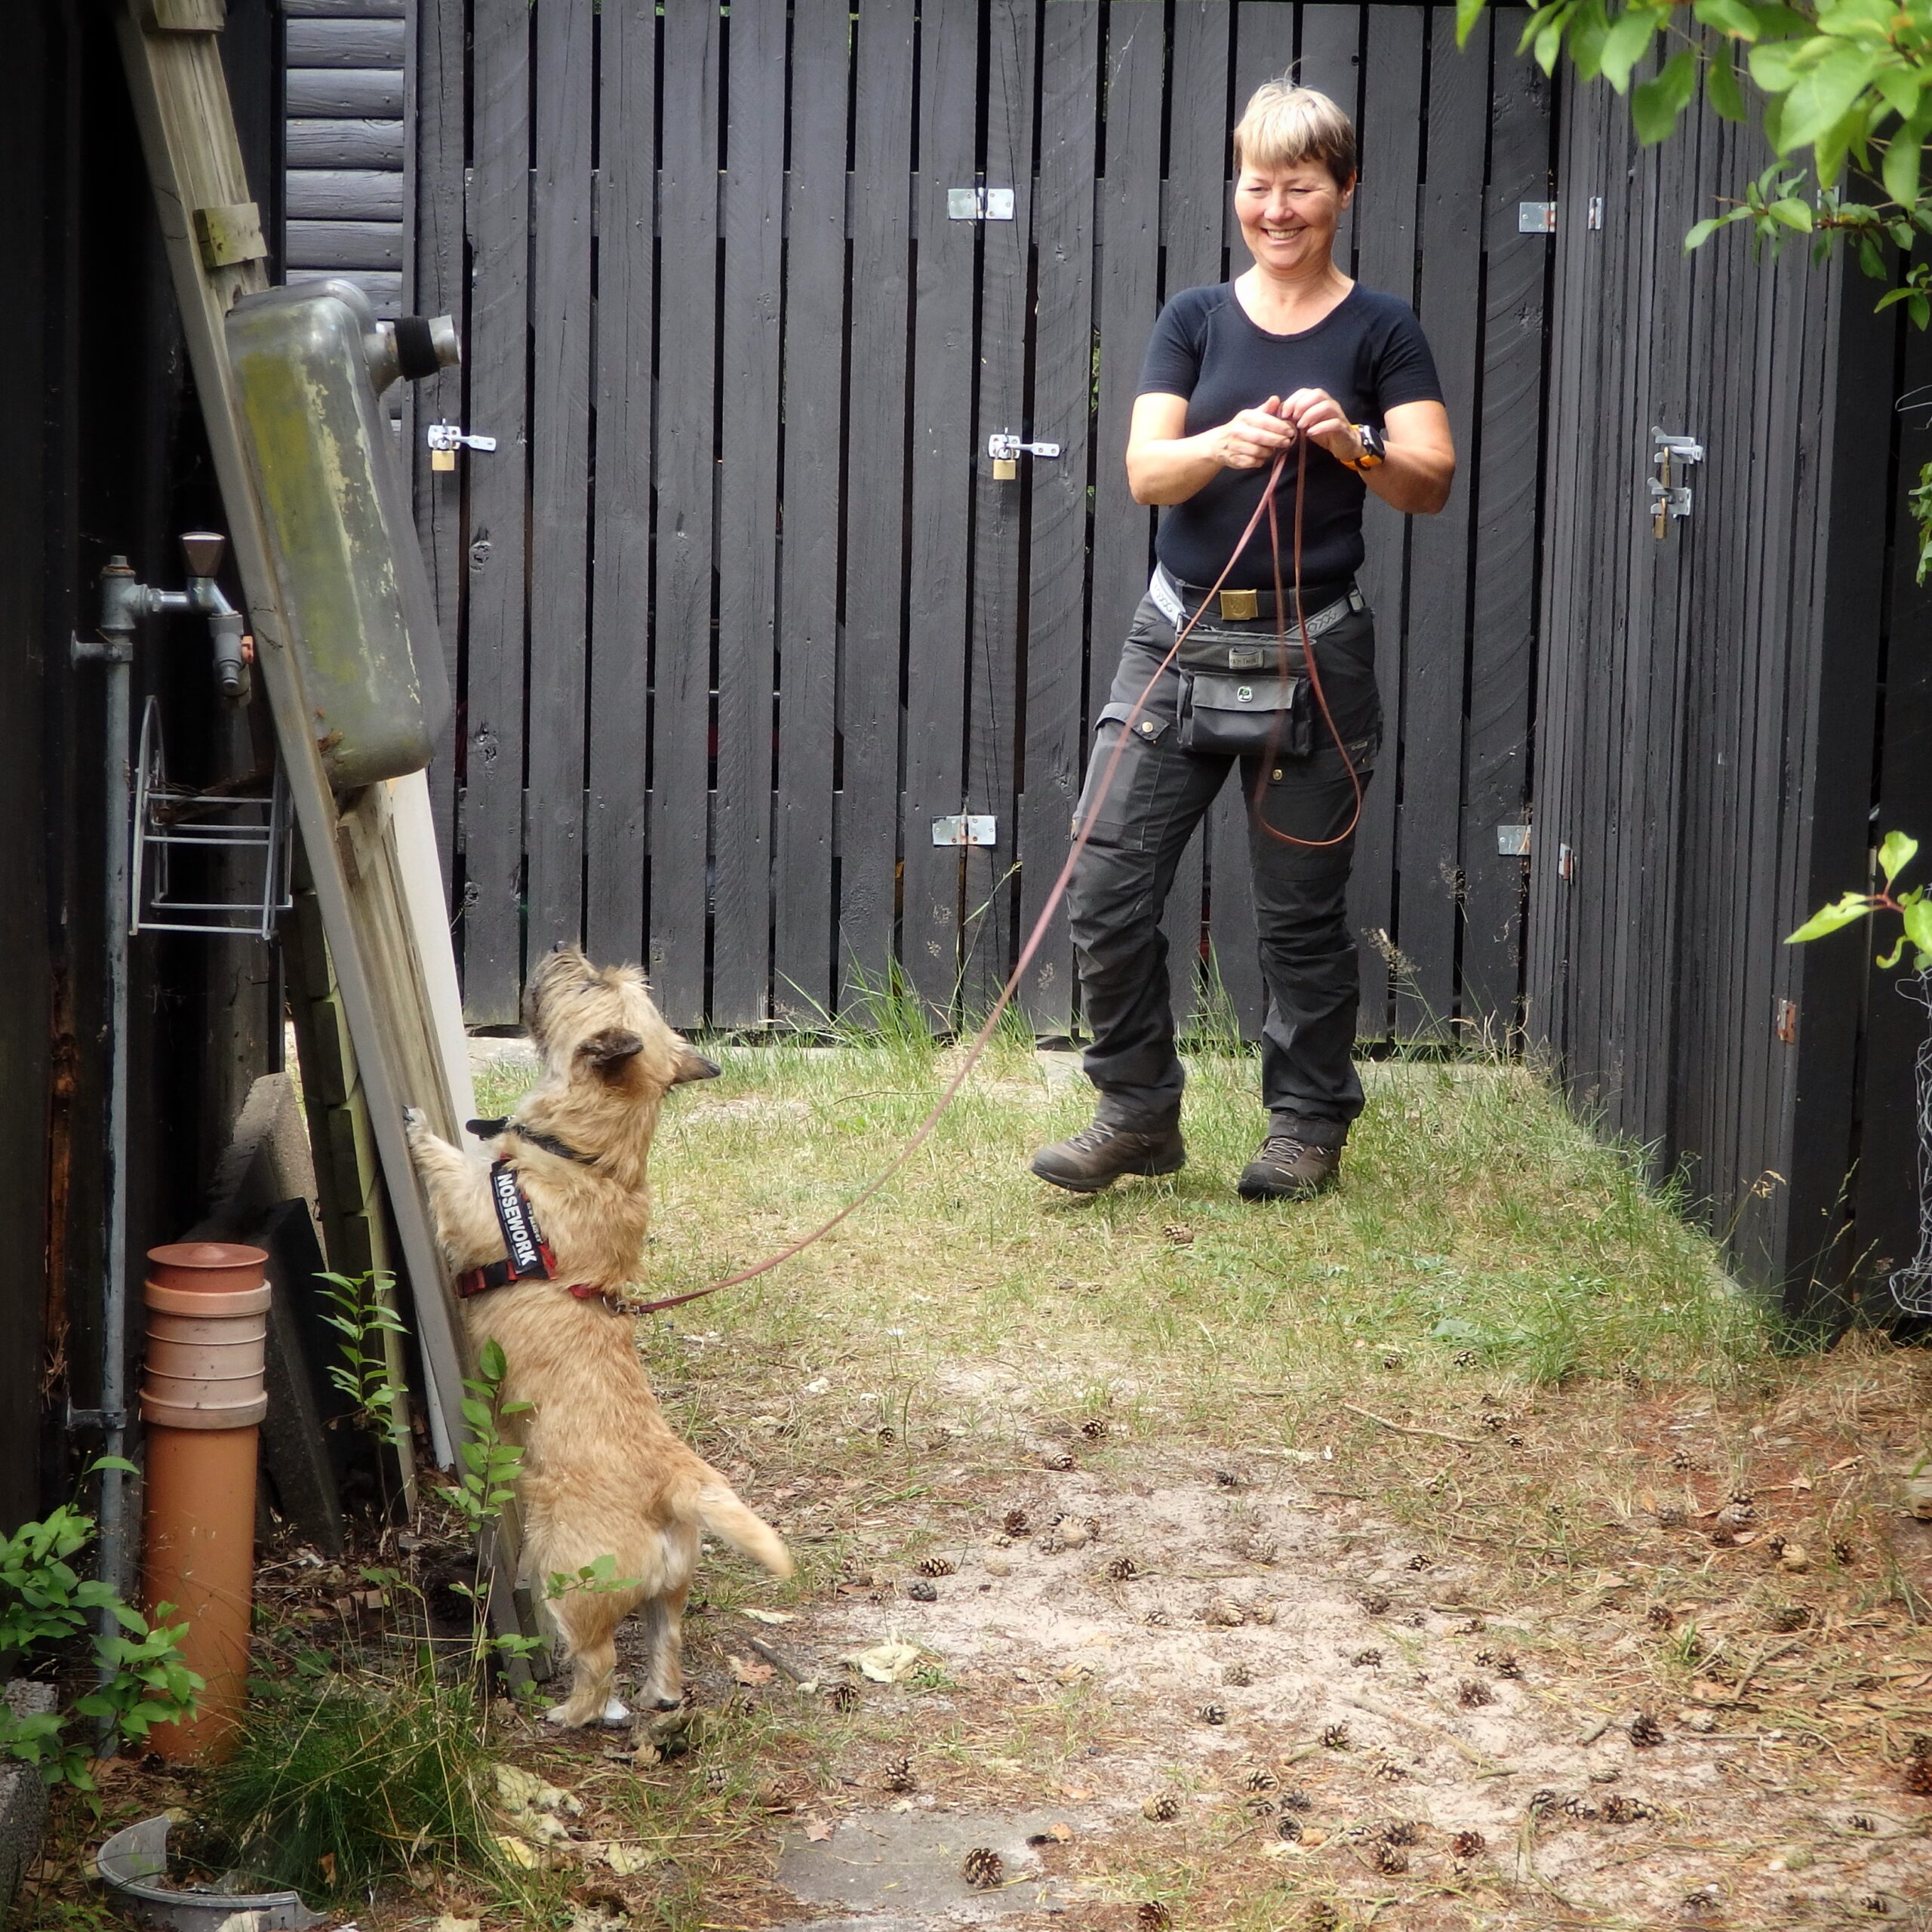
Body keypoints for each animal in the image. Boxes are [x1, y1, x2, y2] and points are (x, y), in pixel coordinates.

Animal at [403, 943, 791, 1728]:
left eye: (587, 985)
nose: (564, 948)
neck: (593, 1156)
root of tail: (678, 1483)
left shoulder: (475, 1205)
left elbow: (450, 1166)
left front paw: (420, 1128)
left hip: (568, 1581)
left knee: (598, 1661)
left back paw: (569, 1714)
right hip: (670, 1595)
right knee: (666, 1647)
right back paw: (657, 1697)